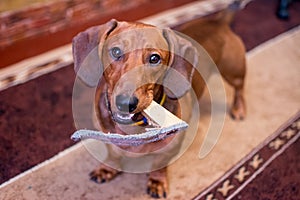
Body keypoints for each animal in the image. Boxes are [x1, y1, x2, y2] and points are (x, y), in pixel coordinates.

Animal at [72, 7, 246, 198]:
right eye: (116, 52)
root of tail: (218, 21)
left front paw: (157, 182)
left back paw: (239, 108)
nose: (126, 103)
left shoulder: (169, 149)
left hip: (234, 71)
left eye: (154, 58)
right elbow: (112, 154)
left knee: (239, 88)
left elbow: (158, 165)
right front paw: (107, 169)